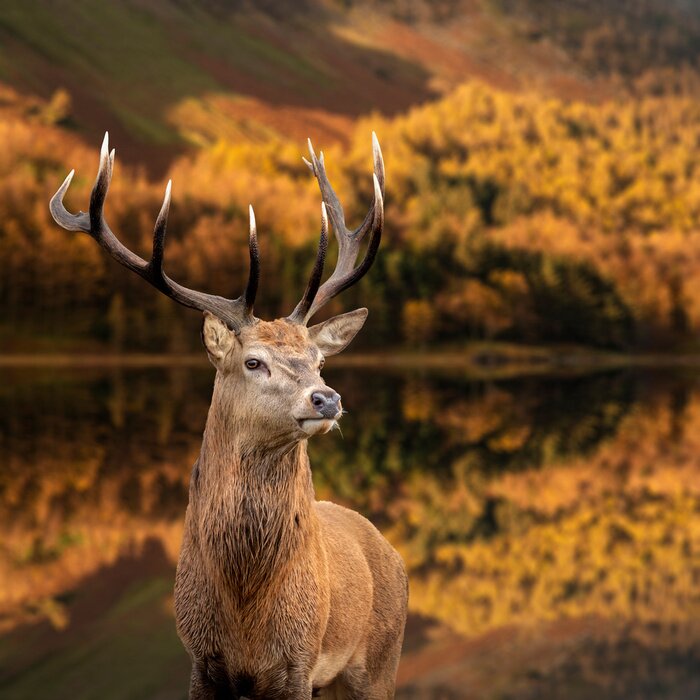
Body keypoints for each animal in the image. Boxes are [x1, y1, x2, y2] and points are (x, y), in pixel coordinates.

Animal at [50, 132, 408, 699]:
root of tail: (390, 551)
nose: (326, 399)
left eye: (320, 361)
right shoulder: (200, 659)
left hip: (378, 663)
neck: (245, 612)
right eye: (253, 361)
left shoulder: (299, 663)